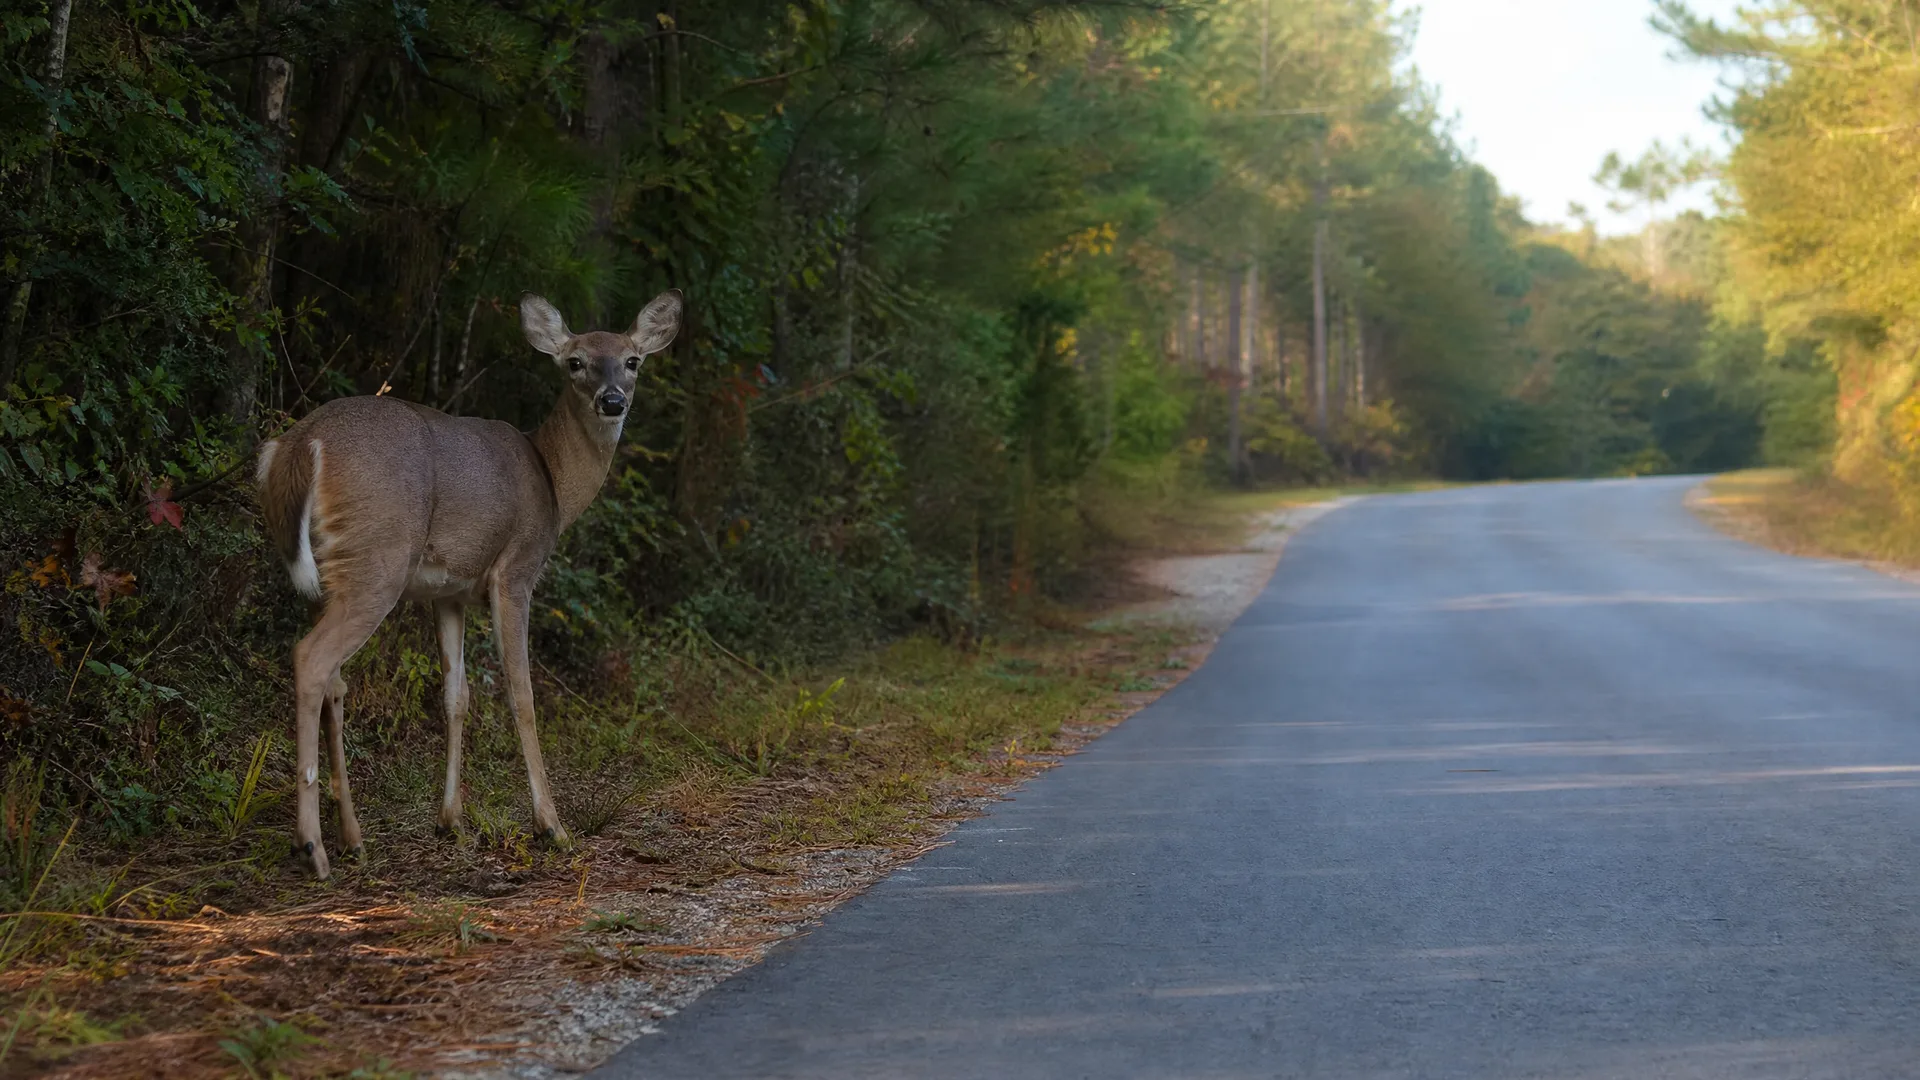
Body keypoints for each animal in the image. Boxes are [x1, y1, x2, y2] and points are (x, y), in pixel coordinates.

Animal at [254, 290, 683, 879]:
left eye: (633, 360)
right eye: (575, 362)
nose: (613, 400)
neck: (553, 482)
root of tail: (299, 445)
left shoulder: (449, 593)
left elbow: (455, 696)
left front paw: (449, 819)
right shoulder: (515, 570)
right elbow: (522, 693)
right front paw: (552, 826)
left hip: (333, 571)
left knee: (335, 679)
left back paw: (352, 838)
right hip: (380, 555)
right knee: (311, 659)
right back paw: (313, 847)